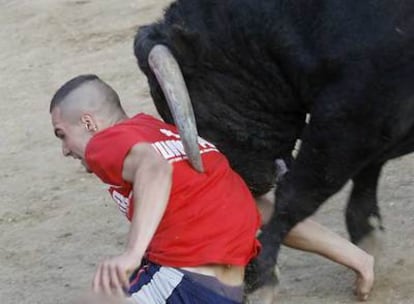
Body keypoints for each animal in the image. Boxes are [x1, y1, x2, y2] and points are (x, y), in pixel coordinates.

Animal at [133, 0, 414, 290]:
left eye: (195, 108)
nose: (244, 185)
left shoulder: (353, 115)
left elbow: (298, 193)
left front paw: (258, 273)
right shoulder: (374, 121)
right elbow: (366, 172)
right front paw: (368, 236)